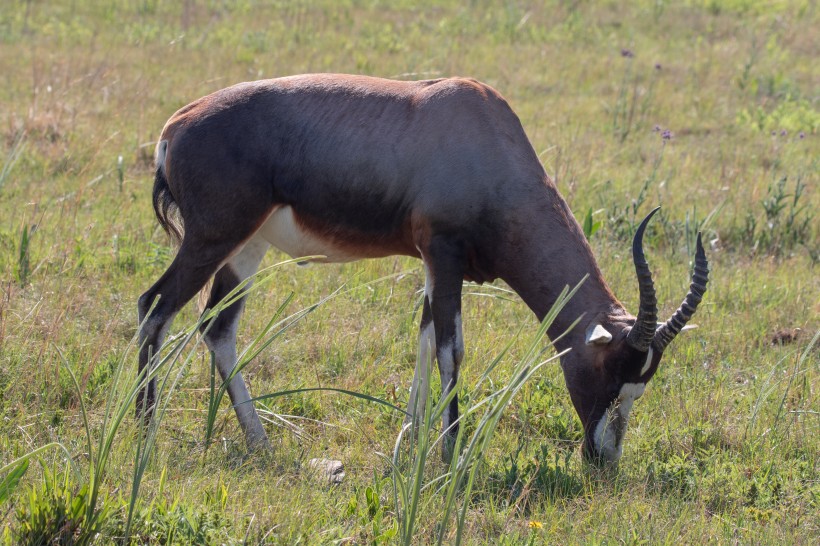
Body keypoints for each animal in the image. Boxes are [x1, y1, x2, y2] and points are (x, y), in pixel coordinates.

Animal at [138, 73, 708, 464]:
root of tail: (174, 127)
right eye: (609, 373)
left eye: (641, 384)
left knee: (217, 327)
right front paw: (450, 454)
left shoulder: (433, 262)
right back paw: (145, 433)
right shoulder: (444, 252)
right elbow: (450, 348)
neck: (479, 127)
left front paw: (410, 439)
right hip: (211, 239)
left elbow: (424, 336)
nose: (603, 459)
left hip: (246, 247)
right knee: (155, 306)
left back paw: (260, 441)